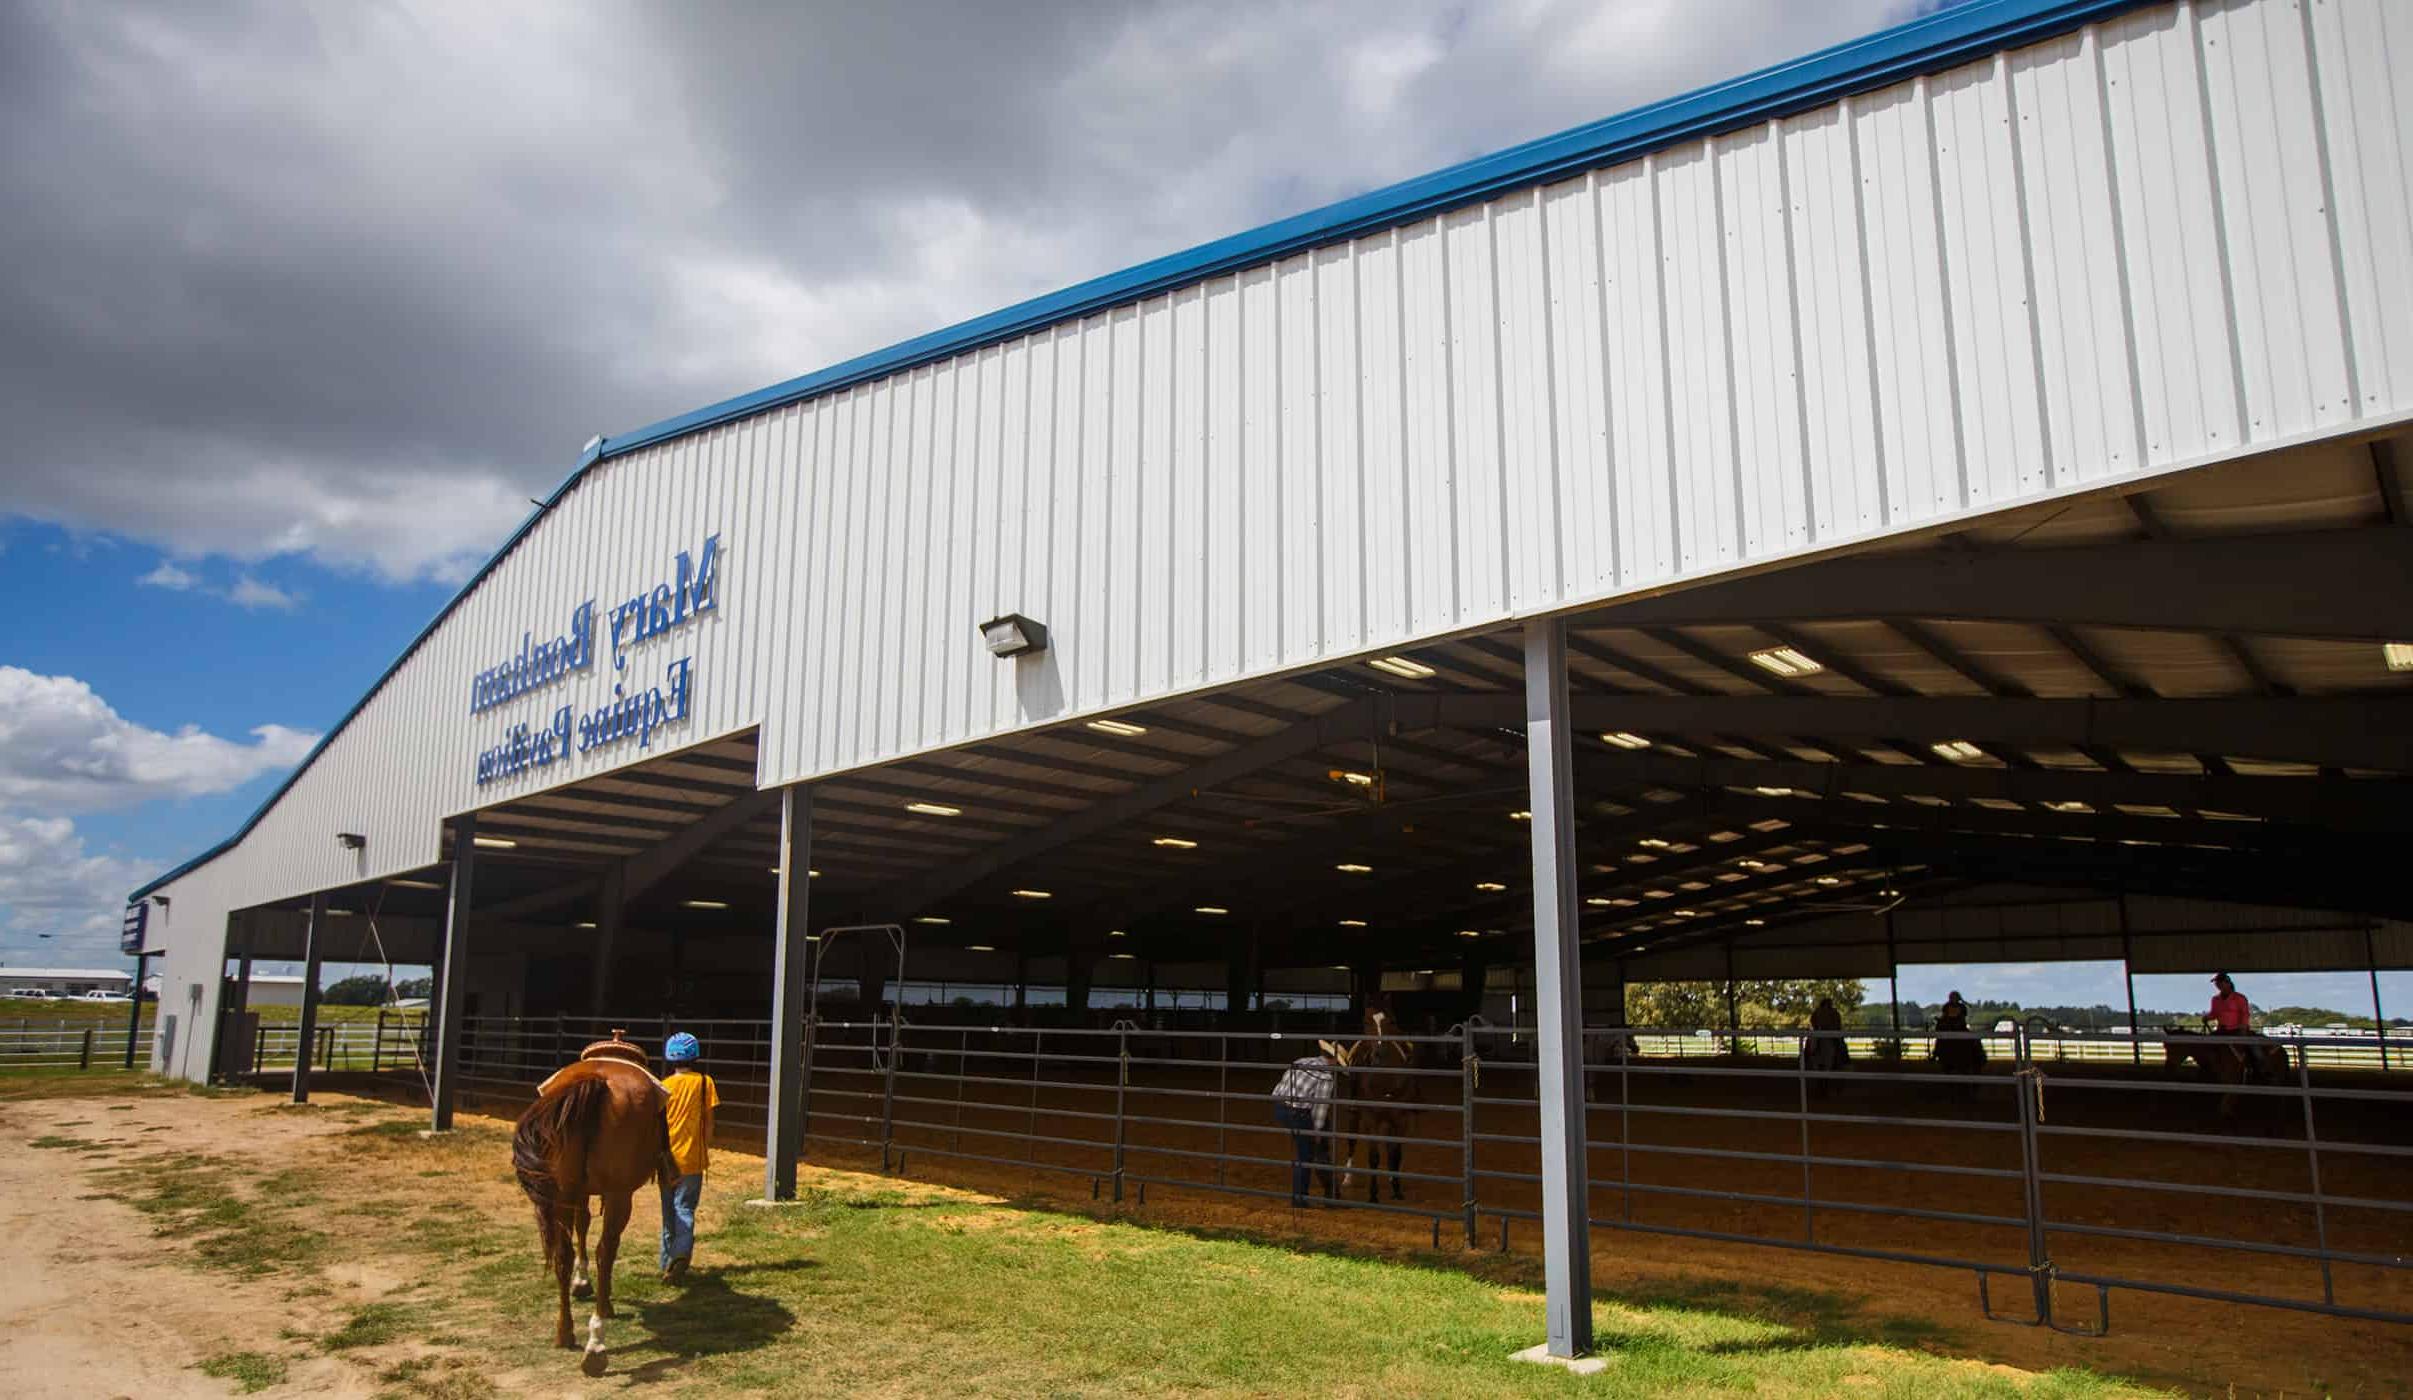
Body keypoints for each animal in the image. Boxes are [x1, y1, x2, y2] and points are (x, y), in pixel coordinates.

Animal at [513, 1033, 675, 1371]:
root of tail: (595, 1080)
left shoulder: (578, 1192)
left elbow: (582, 1226)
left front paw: (581, 1283)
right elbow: (592, 1234)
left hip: (563, 1192)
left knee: (563, 1253)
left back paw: (565, 1332)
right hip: (618, 1195)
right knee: (606, 1250)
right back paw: (596, 1344)